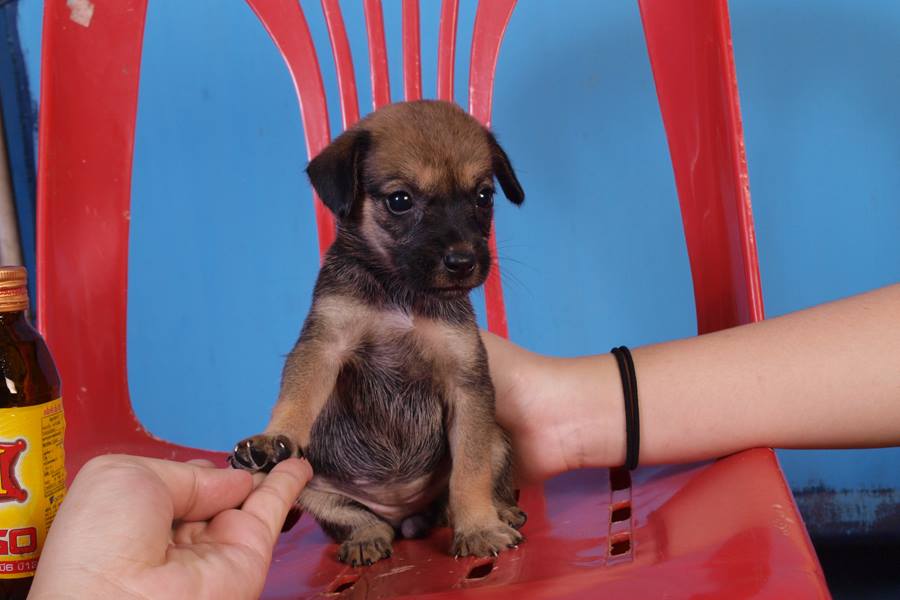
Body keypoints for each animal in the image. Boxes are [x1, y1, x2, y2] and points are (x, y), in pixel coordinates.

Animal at [230, 100, 526, 566]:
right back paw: (366, 536)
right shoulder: (324, 346)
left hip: (496, 438)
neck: (398, 292)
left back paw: (501, 511)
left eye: (484, 197)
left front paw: (479, 526)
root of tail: (406, 516)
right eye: (400, 201)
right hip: (313, 482)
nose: (463, 261)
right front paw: (275, 436)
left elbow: (470, 474)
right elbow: (297, 396)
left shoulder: (467, 384)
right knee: (356, 518)